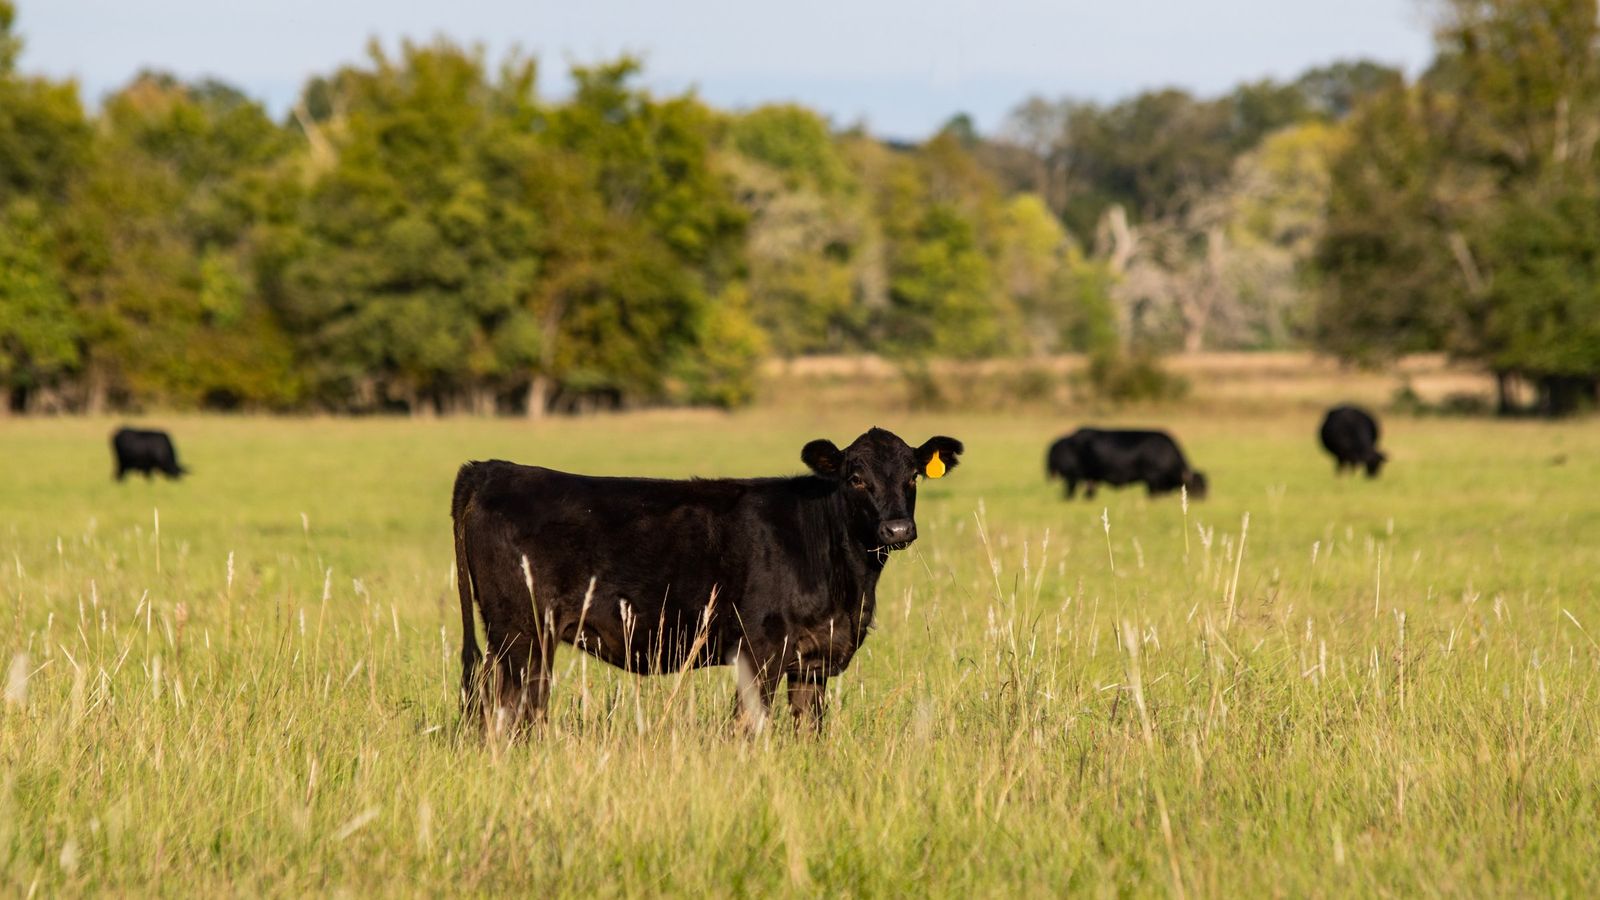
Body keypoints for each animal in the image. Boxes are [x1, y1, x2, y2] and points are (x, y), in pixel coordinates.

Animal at [452, 427, 964, 733]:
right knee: (512, 711)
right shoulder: (760, 650)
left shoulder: (813, 660)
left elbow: (809, 728)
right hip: (522, 635)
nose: (897, 529)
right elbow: (747, 727)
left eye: (913, 475)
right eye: (856, 477)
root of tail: (491, 468)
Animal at [1045, 428, 1206, 500]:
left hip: (1089, 478)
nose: (1204, 499)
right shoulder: (1152, 479)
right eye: (1197, 486)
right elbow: (1151, 494)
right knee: (1070, 491)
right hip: (1072, 477)